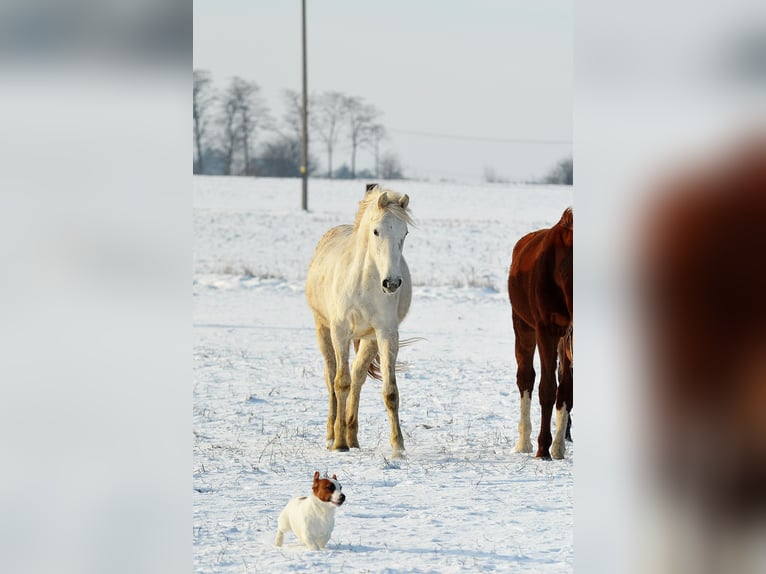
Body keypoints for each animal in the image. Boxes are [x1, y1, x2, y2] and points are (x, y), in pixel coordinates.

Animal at [306, 184, 414, 460]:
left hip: (368, 340)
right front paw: (338, 443)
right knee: (332, 376)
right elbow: (340, 383)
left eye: (405, 232)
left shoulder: (386, 334)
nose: (392, 283)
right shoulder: (340, 331)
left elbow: (390, 391)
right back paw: (333, 433)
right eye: (376, 231)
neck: (365, 280)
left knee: (357, 377)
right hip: (323, 329)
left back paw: (352, 436)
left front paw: (398, 446)